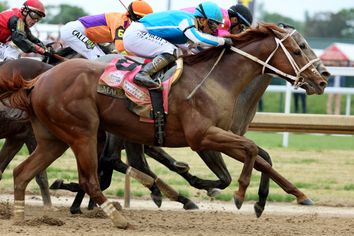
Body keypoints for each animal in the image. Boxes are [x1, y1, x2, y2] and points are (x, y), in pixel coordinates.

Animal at [1, 23, 326, 228]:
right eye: (299, 49)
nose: (322, 79)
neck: (217, 79)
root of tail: (39, 79)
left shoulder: (220, 135)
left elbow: (259, 155)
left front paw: (292, 196)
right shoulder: (202, 137)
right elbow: (248, 153)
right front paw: (238, 194)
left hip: (53, 137)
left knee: (22, 172)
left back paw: (20, 217)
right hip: (83, 132)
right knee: (91, 178)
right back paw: (121, 217)